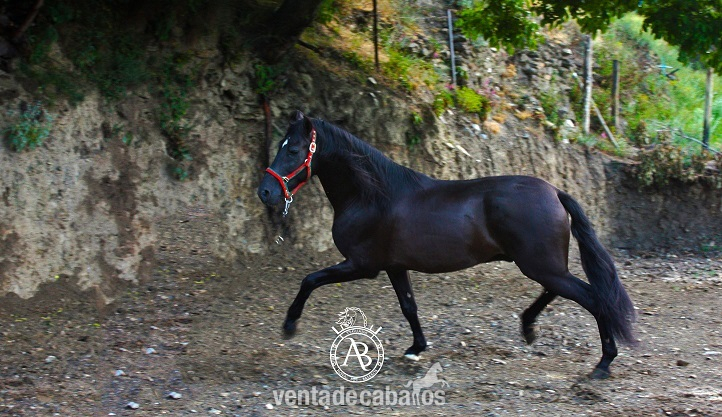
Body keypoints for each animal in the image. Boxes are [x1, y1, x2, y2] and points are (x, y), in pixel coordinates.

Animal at [257, 110, 636, 379]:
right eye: (280, 146)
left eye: (293, 149)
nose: (266, 192)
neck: (371, 196)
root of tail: (555, 192)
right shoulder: (395, 267)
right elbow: (409, 307)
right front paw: (416, 348)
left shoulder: (361, 265)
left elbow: (310, 279)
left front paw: (289, 325)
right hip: (543, 265)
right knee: (558, 292)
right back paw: (529, 328)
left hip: (540, 264)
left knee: (591, 297)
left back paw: (602, 364)